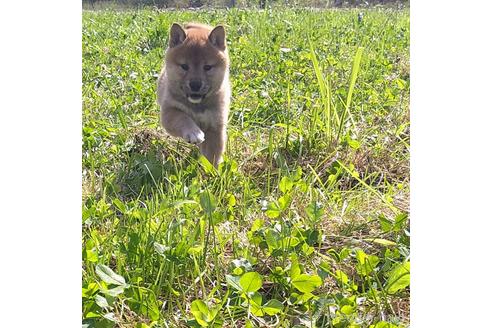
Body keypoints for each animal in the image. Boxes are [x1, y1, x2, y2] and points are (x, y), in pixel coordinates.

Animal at [158, 22, 231, 167]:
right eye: (184, 66)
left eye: (207, 67)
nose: (195, 84)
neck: (197, 106)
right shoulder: (169, 111)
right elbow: (182, 118)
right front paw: (193, 132)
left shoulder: (215, 126)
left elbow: (212, 155)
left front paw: (212, 171)